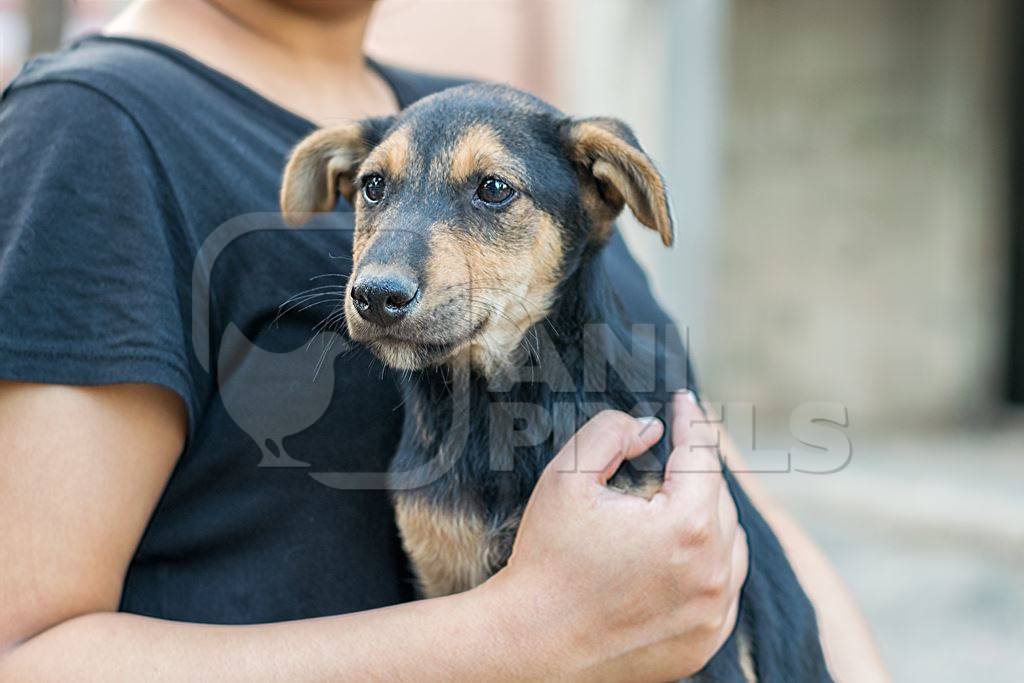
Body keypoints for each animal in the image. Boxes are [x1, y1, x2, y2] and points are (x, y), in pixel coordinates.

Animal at [282, 82, 831, 679]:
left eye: (494, 189)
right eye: (374, 186)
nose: (376, 295)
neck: (501, 409)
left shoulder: (710, 654)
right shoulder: (441, 573)